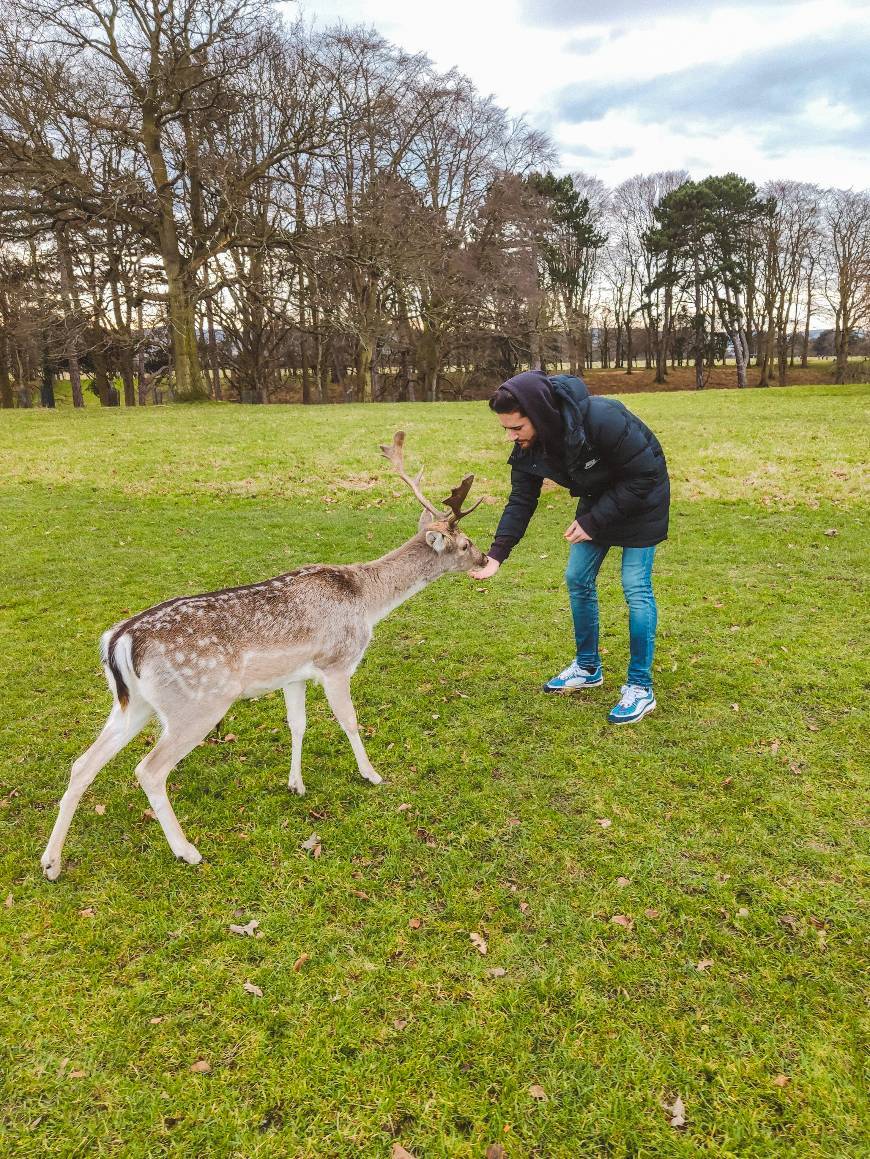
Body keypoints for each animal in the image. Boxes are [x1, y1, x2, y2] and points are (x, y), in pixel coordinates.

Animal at [40, 435, 486, 876]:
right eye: (465, 543)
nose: (484, 558)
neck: (367, 599)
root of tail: (119, 639)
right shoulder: (336, 662)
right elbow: (350, 721)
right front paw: (372, 774)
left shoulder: (295, 674)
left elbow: (297, 724)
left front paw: (296, 784)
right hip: (197, 703)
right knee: (148, 770)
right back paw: (188, 851)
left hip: (134, 704)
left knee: (82, 764)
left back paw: (51, 862)